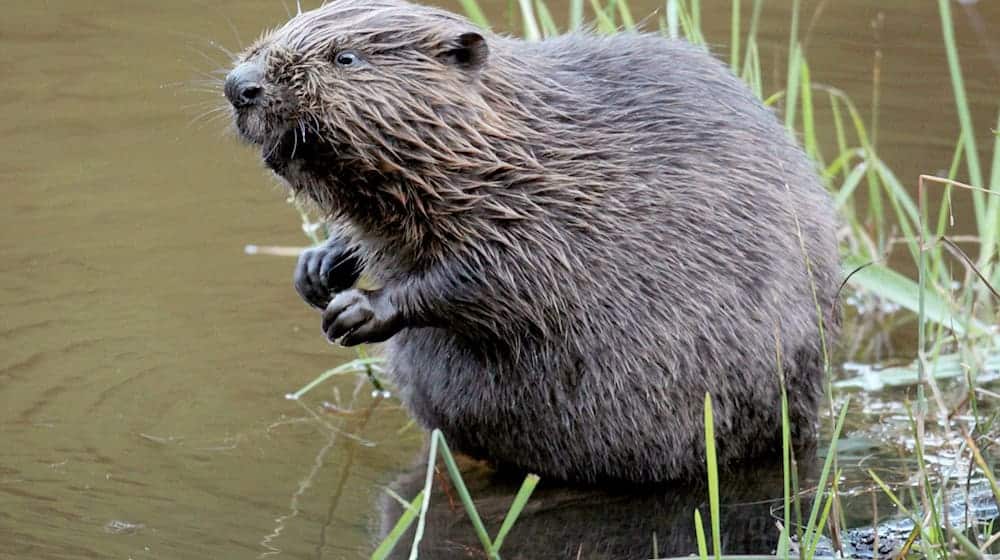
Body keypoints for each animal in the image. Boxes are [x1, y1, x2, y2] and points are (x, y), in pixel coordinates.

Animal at [223, 0, 840, 482]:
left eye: (346, 58)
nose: (239, 86)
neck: (510, 142)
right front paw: (318, 268)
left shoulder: (549, 213)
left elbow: (499, 280)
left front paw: (357, 311)